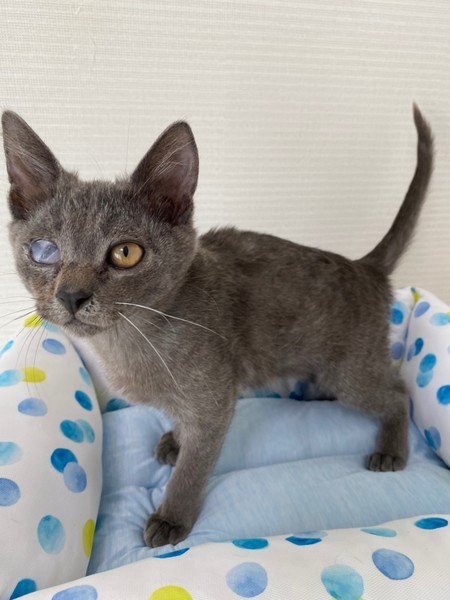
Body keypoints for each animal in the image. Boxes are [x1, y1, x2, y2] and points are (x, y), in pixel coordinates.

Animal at [2, 106, 433, 548]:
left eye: (125, 253)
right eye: (44, 250)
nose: (72, 295)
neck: (132, 340)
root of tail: (366, 267)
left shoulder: (215, 402)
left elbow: (193, 468)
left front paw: (172, 517)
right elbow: (183, 426)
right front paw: (175, 440)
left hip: (349, 374)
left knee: (398, 392)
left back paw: (392, 451)